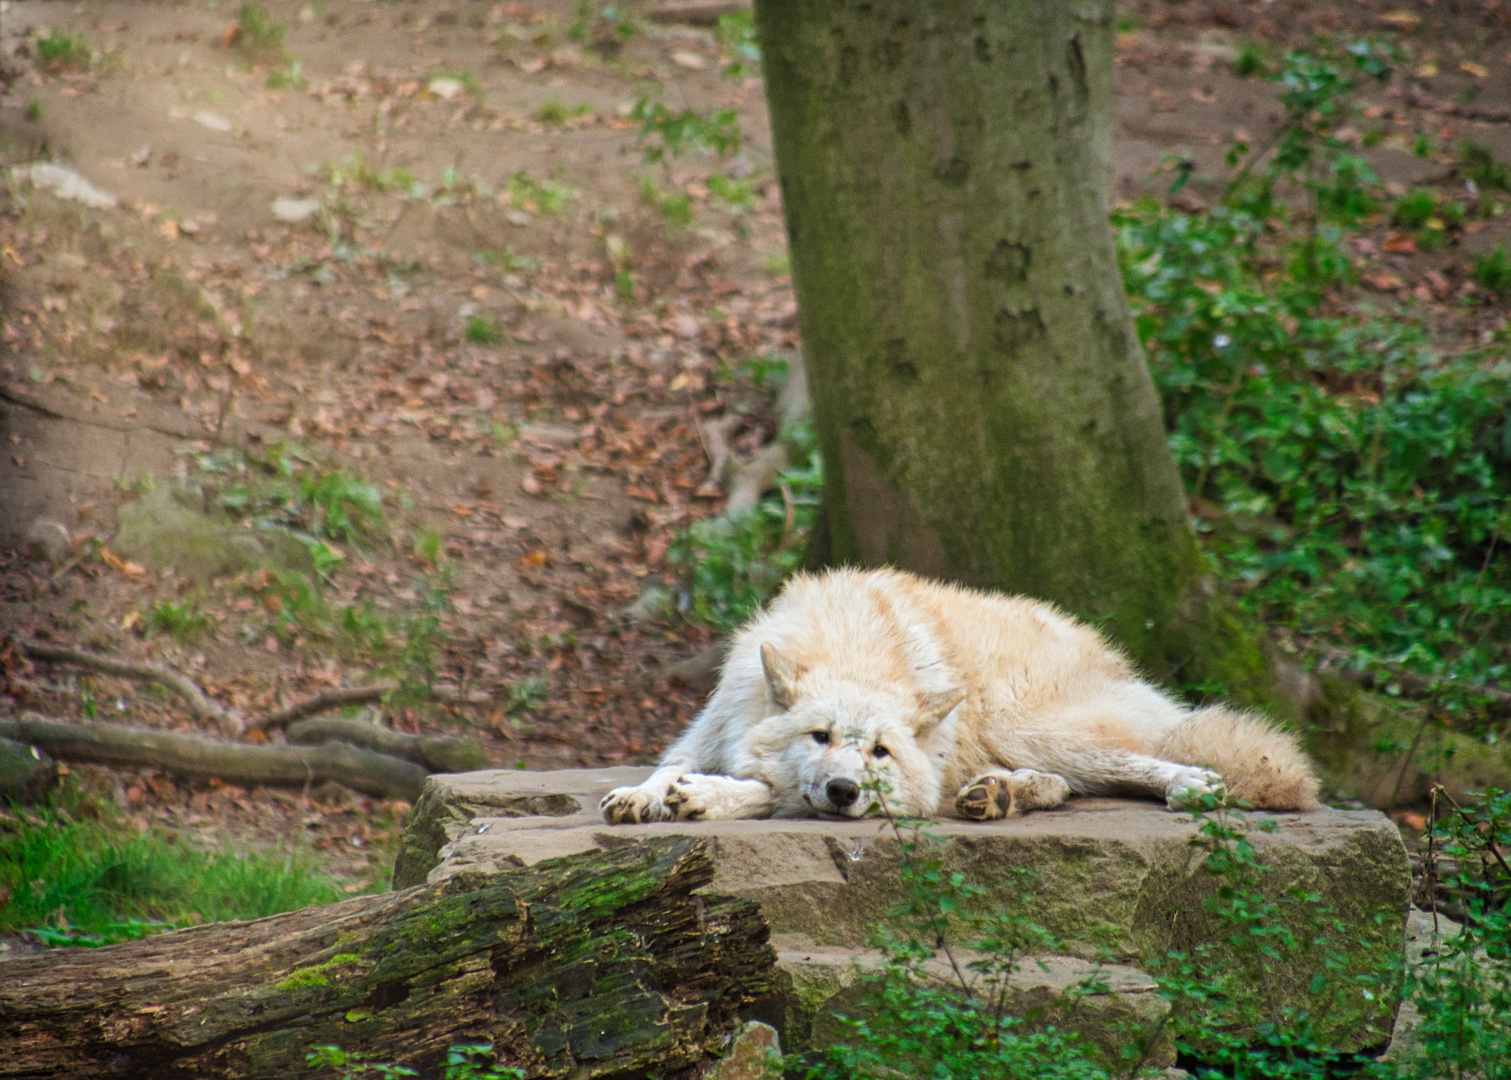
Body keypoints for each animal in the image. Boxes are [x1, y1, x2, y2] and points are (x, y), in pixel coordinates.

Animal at [595, 564, 1317, 827]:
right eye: (819, 736)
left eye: (880, 752)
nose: (843, 791)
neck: (851, 645)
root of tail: (1118, 658)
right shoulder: (709, 726)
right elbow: (669, 764)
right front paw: (643, 794)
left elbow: (770, 790)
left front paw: (710, 798)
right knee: (1063, 786)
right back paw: (996, 794)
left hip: (1029, 726)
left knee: (1134, 766)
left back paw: (1194, 785)